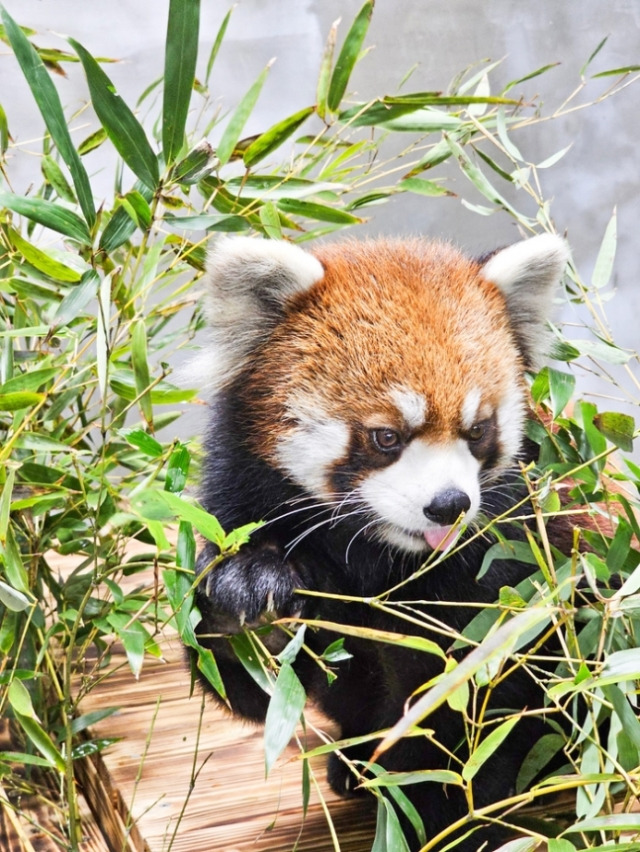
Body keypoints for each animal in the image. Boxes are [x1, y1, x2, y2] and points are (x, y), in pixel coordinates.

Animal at [191, 233, 568, 852]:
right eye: (386, 437)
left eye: (478, 431)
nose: (449, 504)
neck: (379, 555)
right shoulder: (241, 499)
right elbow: (258, 683)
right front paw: (251, 604)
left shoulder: (510, 568)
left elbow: (484, 706)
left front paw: (449, 814)